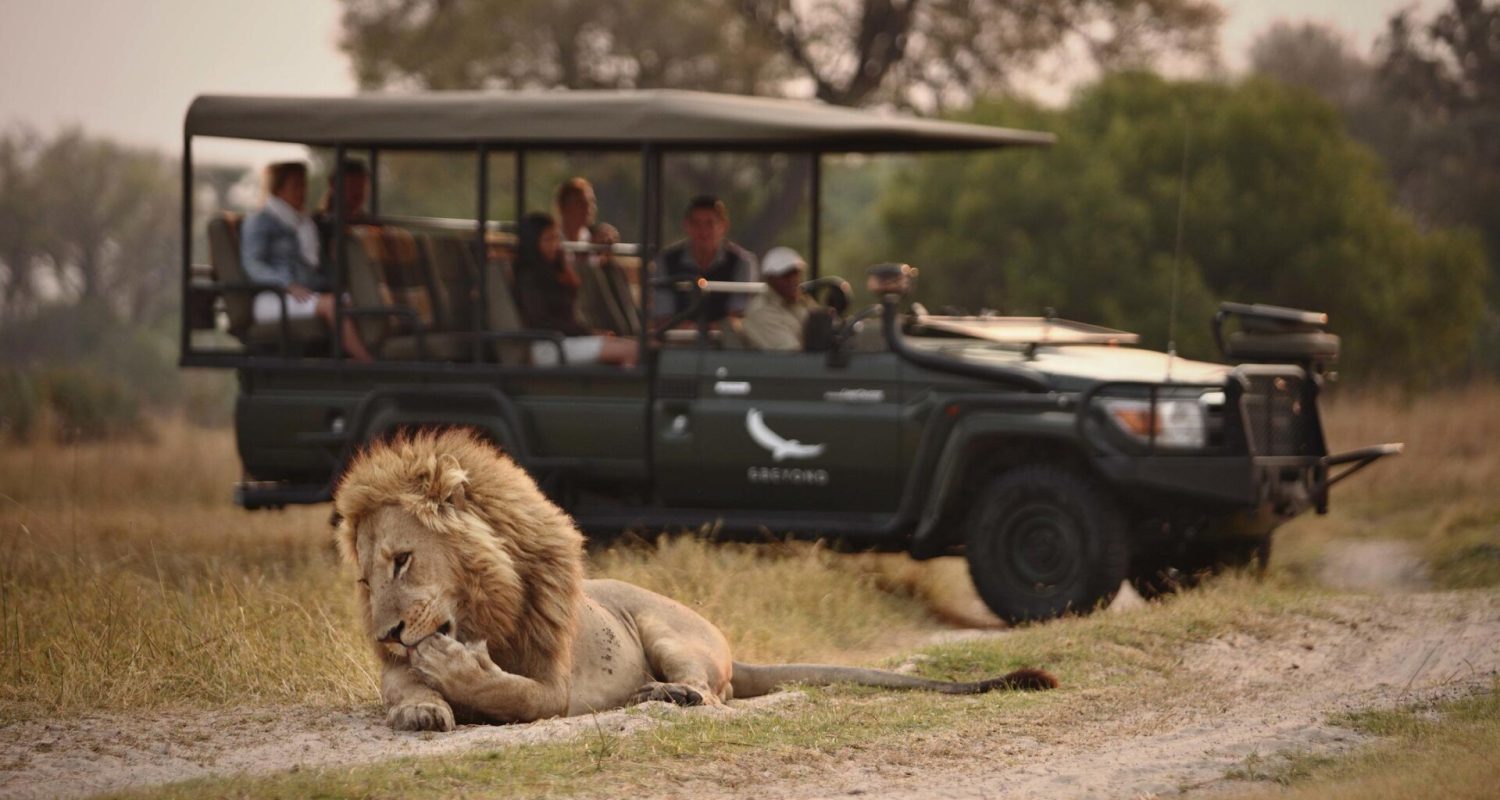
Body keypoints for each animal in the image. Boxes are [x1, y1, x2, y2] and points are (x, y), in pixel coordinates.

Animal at [334, 429, 1058, 732]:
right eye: (365, 581)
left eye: (403, 560)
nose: (388, 633)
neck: (479, 608)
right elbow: (401, 687)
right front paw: (421, 703)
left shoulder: (555, 687)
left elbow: (512, 693)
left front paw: (456, 670)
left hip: (668, 631)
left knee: (715, 695)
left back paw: (667, 694)